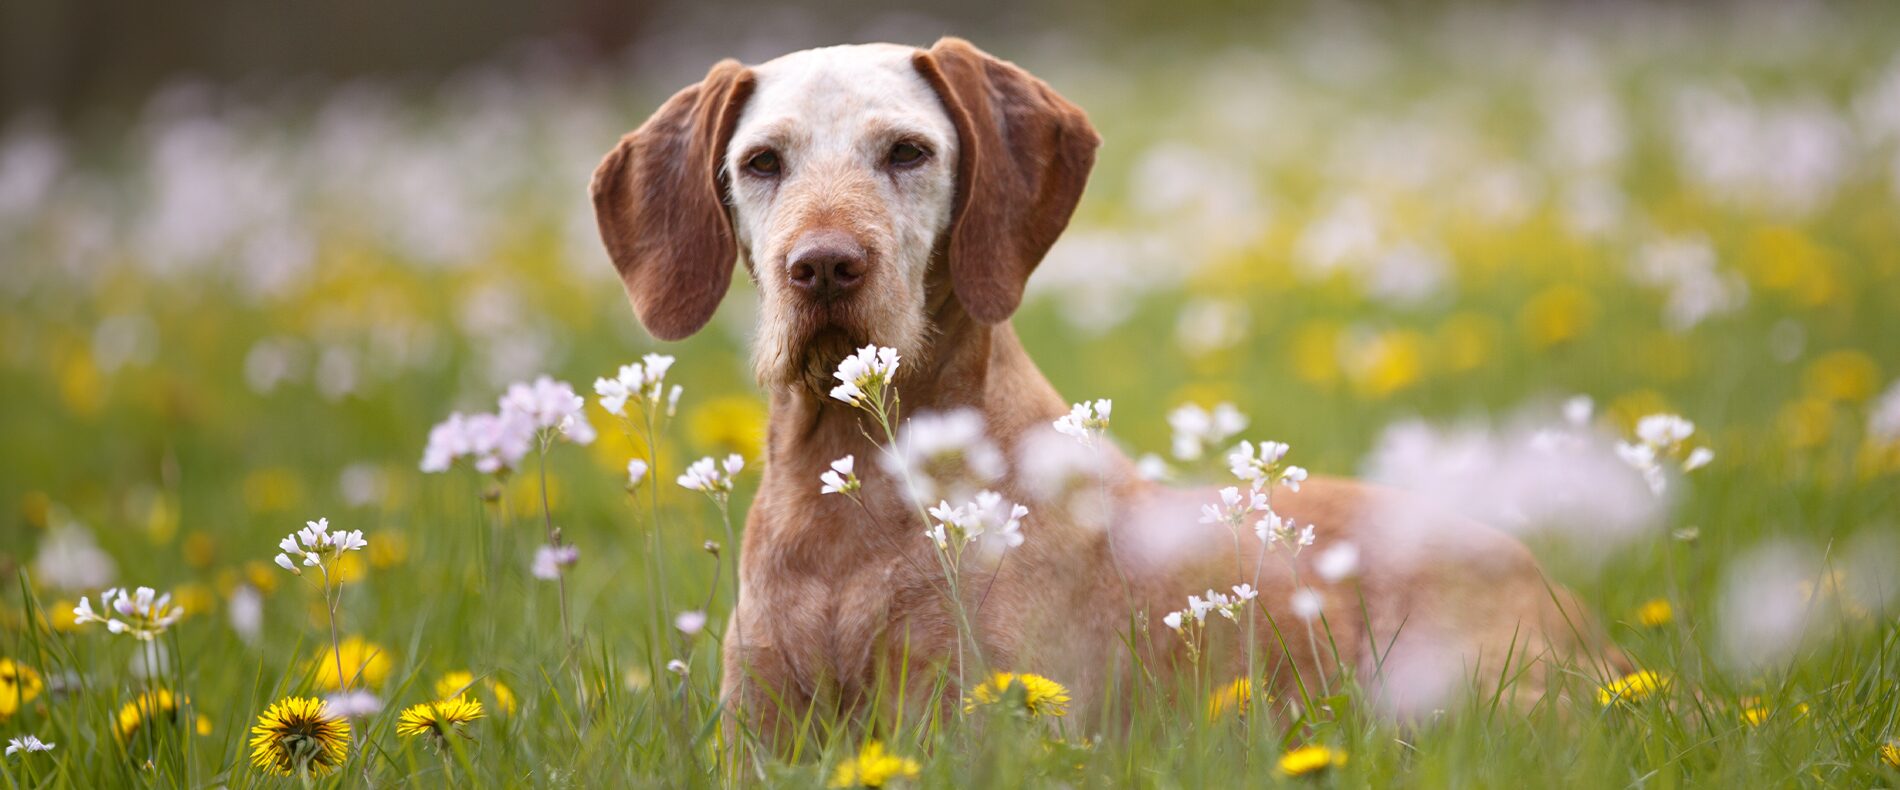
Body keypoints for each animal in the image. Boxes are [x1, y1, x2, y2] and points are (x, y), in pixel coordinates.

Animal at [592, 37, 1618, 748]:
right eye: (762, 162)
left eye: (908, 152)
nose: (824, 267)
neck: (853, 488)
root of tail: (1585, 619)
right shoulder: (760, 734)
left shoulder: (975, 720)